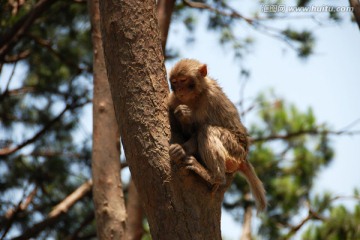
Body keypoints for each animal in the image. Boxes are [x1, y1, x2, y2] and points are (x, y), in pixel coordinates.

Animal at [167, 58, 266, 212]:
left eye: (183, 80)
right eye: (175, 82)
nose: (179, 89)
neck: (195, 96)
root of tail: (244, 157)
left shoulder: (212, 98)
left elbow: (199, 131)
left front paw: (182, 149)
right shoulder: (174, 100)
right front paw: (182, 115)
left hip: (235, 149)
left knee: (207, 130)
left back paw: (215, 177)